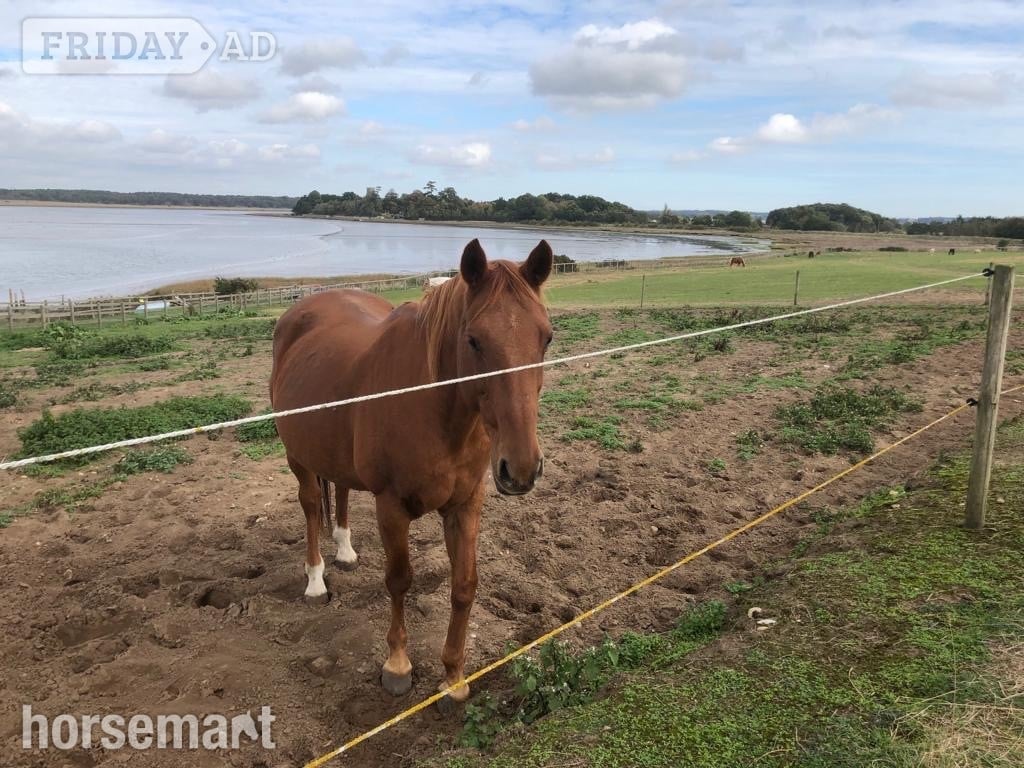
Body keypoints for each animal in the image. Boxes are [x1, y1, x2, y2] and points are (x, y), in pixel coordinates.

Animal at [270, 239, 553, 704]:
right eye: (473, 341)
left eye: (546, 337)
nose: (522, 468)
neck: (434, 409)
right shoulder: (392, 506)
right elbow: (399, 581)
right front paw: (397, 666)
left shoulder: (466, 504)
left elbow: (464, 585)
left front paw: (454, 676)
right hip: (298, 455)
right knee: (311, 506)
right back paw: (315, 581)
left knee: (341, 492)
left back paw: (345, 551)